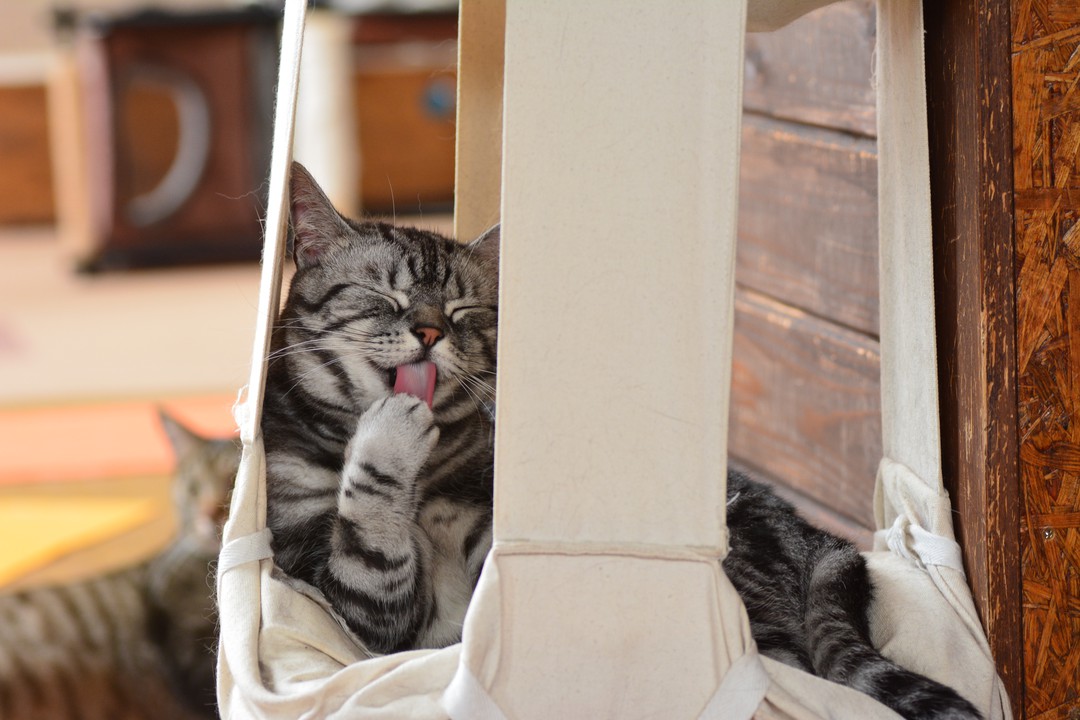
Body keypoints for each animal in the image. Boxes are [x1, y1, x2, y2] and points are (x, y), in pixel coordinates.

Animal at [265, 162, 984, 720]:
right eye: (383, 296)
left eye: (465, 312)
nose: (430, 331)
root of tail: (818, 537)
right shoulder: (354, 596)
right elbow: (373, 539)